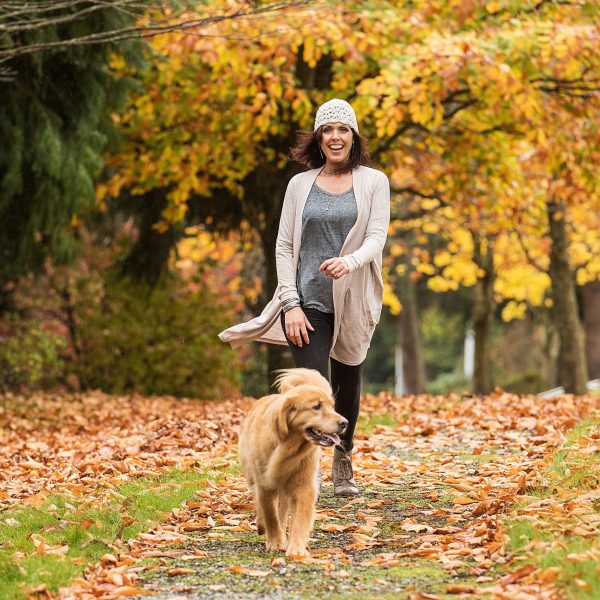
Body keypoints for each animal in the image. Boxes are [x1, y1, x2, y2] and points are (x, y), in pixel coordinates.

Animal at [238, 370, 346, 556]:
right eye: (316, 406)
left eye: (333, 407)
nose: (345, 423)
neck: (288, 449)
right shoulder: (264, 484)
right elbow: (270, 514)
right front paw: (275, 541)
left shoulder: (304, 486)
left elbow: (299, 519)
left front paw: (296, 548)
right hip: (254, 477)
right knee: (261, 504)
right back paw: (262, 526)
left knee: (281, 511)